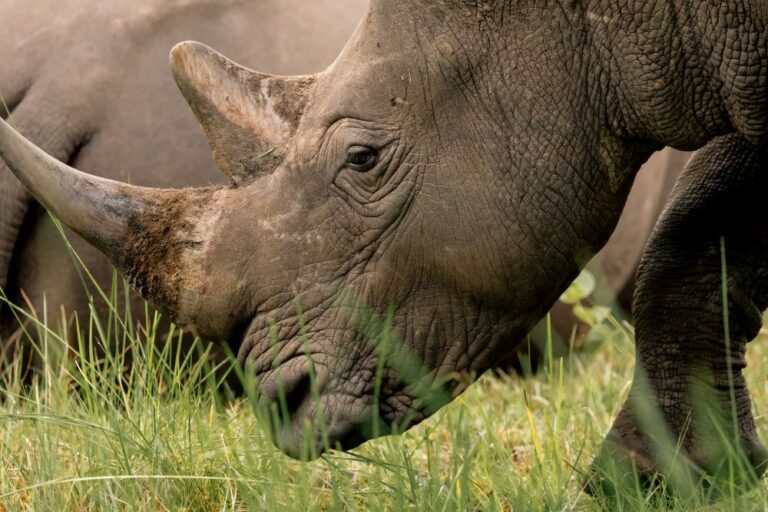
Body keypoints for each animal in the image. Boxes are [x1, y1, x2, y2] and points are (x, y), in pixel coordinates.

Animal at [2, 0, 764, 488]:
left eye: (363, 159)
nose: (280, 403)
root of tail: (65, 84)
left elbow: (698, 221)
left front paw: (655, 477)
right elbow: (698, 225)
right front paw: (656, 479)